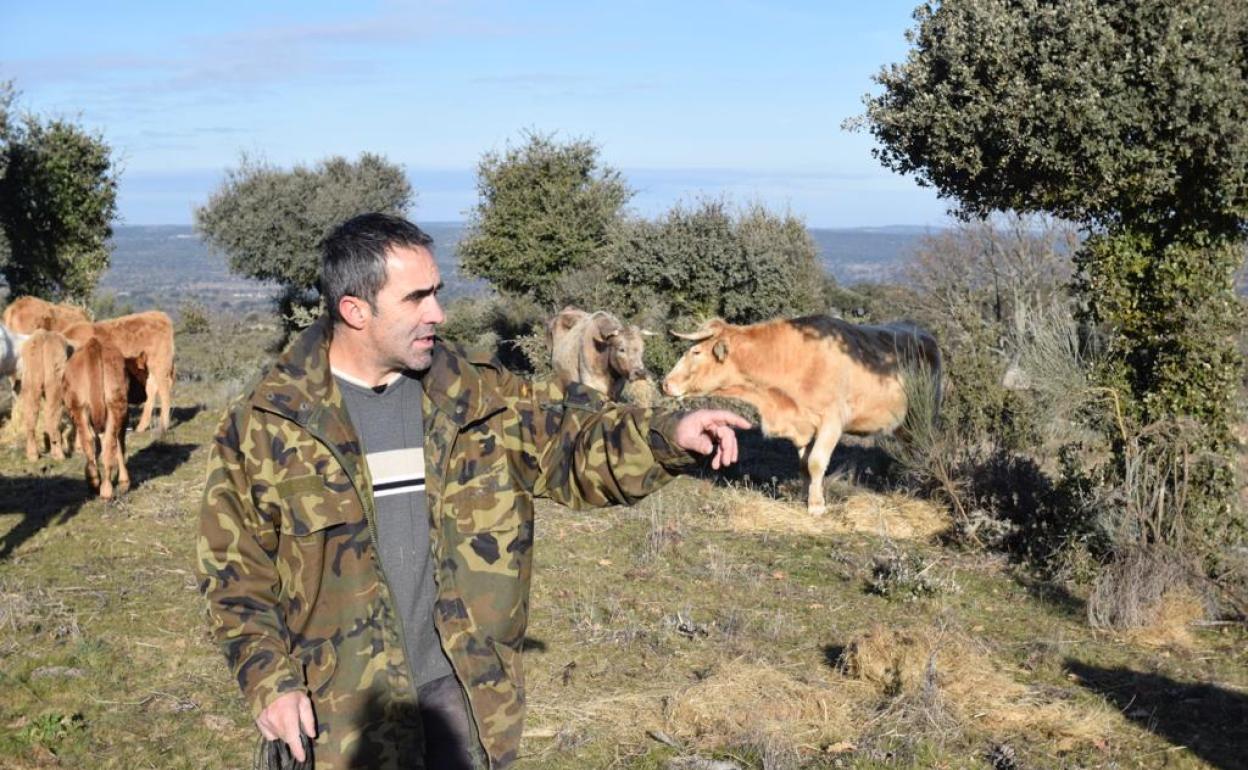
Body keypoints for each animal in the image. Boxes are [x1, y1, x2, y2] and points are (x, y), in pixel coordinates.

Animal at [17, 329, 72, 459]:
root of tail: (43, 335)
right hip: (55, 375)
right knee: (53, 412)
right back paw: (59, 455)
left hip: (30, 374)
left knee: (31, 411)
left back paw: (33, 456)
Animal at [61, 336, 131, 499]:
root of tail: (94, 345)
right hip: (115, 404)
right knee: (108, 442)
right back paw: (105, 488)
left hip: (81, 407)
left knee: (92, 441)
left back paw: (96, 484)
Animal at [663, 315, 938, 514]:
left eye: (696, 352)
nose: (666, 383)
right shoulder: (802, 426)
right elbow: (805, 466)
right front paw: (805, 498)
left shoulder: (831, 422)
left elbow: (816, 463)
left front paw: (816, 506)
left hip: (921, 419)